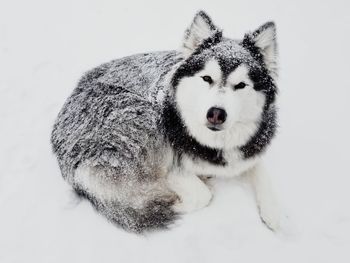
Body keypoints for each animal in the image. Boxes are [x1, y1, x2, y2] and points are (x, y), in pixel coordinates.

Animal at [51, 10, 282, 233]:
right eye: (207, 78)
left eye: (241, 85)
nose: (216, 113)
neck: (215, 144)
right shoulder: (172, 165)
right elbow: (201, 195)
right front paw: (176, 199)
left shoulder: (249, 152)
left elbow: (261, 173)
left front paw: (275, 215)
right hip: (144, 115)